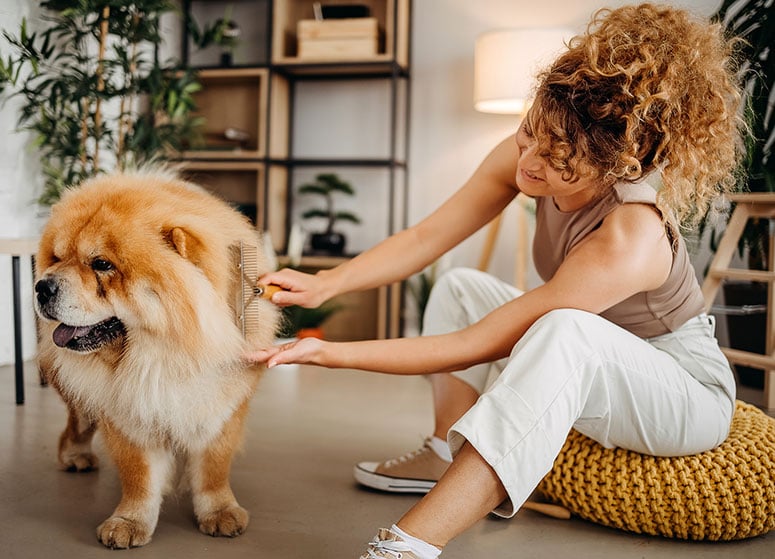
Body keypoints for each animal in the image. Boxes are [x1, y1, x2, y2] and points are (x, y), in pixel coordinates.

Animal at [35, 170, 282, 548]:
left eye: (102, 264)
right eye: (57, 258)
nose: (42, 287)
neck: (164, 356)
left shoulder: (222, 405)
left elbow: (213, 469)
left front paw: (220, 513)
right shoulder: (128, 413)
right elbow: (139, 475)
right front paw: (128, 522)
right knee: (78, 422)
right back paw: (75, 456)